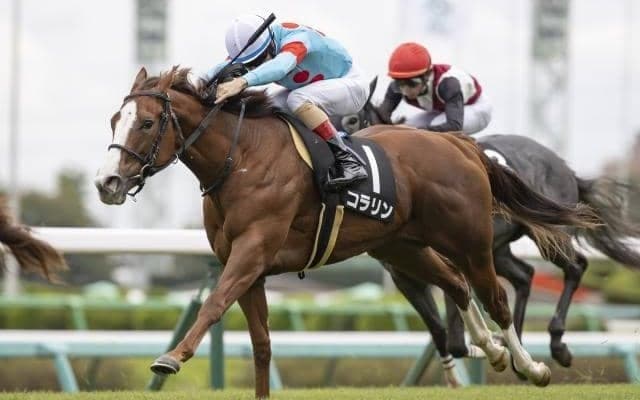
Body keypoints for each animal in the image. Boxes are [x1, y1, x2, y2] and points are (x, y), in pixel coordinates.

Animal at [95, 66, 599, 397]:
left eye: (146, 122)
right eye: (114, 121)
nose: (107, 183)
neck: (242, 159)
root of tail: (458, 144)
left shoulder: (253, 250)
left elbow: (214, 304)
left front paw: (171, 357)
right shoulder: (248, 268)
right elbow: (261, 345)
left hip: (470, 240)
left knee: (496, 296)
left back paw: (532, 366)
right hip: (403, 248)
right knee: (456, 284)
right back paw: (492, 351)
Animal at [336, 92, 640, 378]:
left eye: (353, 119)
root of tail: (565, 167)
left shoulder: (453, 259)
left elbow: (456, 337)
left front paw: (487, 347)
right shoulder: (405, 276)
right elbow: (440, 332)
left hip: (544, 236)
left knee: (575, 266)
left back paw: (557, 345)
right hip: (497, 251)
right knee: (525, 275)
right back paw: (520, 352)